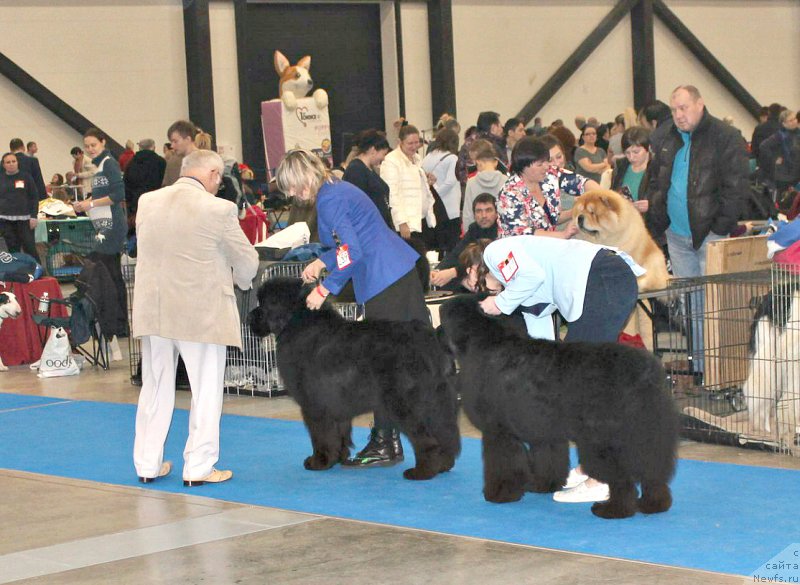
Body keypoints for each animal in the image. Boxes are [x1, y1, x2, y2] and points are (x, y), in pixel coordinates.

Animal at [247, 278, 460, 480]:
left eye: (263, 304)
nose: (249, 317)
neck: (296, 323)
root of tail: (430, 340)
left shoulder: (314, 404)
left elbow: (320, 435)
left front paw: (319, 461)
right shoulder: (336, 403)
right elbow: (339, 433)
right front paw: (337, 458)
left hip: (407, 404)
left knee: (428, 440)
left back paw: (422, 472)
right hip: (438, 403)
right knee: (445, 435)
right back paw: (443, 466)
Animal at [440, 294, 680, 516]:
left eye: (443, 319)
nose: (436, 331)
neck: (485, 342)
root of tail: (646, 370)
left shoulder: (498, 431)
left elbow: (503, 465)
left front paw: (499, 494)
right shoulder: (544, 429)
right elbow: (548, 459)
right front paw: (542, 485)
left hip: (604, 440)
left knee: (622, 478)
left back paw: (613, 510)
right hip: (645, 435)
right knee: (652, 473)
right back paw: (653, 504)